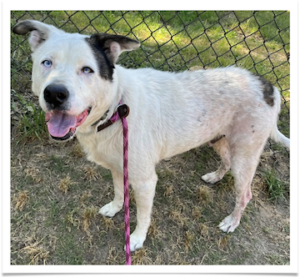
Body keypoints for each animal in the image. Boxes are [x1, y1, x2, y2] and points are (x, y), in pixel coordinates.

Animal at [12, 20, 290, 251]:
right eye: (47, 63)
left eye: (87, 70)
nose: (54, 94)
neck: (116, 107)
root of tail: (269, 86)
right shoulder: (117, 167)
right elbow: (118, 192)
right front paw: (115, 208)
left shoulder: (146, 181)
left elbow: (143, 215)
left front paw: (136, 239)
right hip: (218, 138)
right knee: (227, 161)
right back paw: (215, 176)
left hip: (246, 154)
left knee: (245, 194)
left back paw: (232, 221)